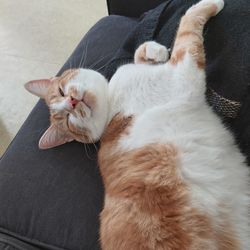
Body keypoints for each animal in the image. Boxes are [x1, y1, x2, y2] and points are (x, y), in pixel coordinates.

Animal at [24, 0, 249, 248]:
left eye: (62, 92)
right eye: (67, 119)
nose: (72, 103)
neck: (112, 100)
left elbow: (141, 49)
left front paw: (153, 51)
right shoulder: (182, 74)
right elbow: (187, 28)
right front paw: (208, 5)